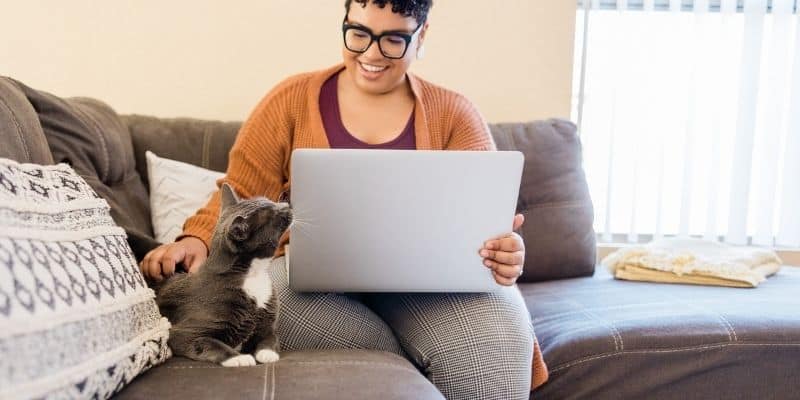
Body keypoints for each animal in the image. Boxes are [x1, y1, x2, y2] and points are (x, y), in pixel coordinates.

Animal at [153, 183, 290, 368]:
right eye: (274, 214)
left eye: (270, 201)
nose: (286, 205)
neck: (254, 275)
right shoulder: (183, 332)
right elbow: (211, 343)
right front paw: (239, 358)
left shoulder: (268, 322)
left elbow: (271, 336)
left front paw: (267, 353)